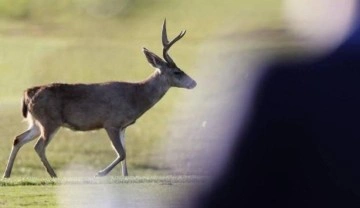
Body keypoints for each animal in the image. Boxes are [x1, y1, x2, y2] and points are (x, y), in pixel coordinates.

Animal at [3, 19, 197, 179]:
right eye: (177, 72)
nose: (194, 82)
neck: (136, 96)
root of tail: (27, 93)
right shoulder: (111, 122)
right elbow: (122, 153)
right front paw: (100, 173)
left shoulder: (123, 126)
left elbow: (125, 153)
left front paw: (125, 176)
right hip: (50, 121)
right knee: (39, 147)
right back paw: (53, 174)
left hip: (36, 122)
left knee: (18, 139)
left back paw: (7, 174)